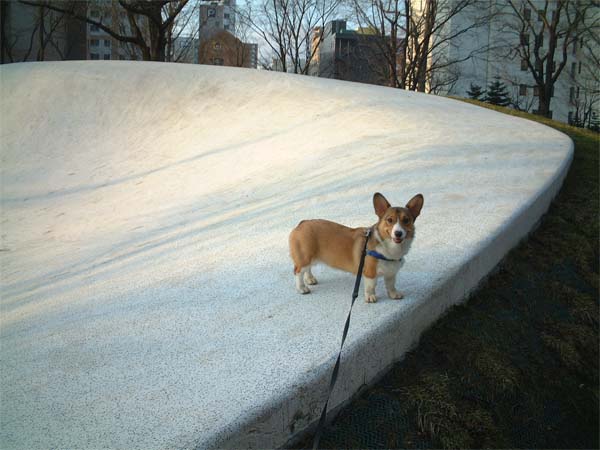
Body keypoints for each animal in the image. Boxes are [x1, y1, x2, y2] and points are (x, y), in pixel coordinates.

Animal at [289, 193, 423, 303]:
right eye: (389, 220)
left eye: (406, 220)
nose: (398, 233)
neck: (390, 248)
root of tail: (302, 223)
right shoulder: (369, 273)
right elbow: (370, 286)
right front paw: (370, 297)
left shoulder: (391, 273)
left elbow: (391, 285)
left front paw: (394, 295)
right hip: (304, 257)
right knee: (298, 271)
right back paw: (302, 288)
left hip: (309, 258)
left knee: (307, 269)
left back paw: (310, 279)